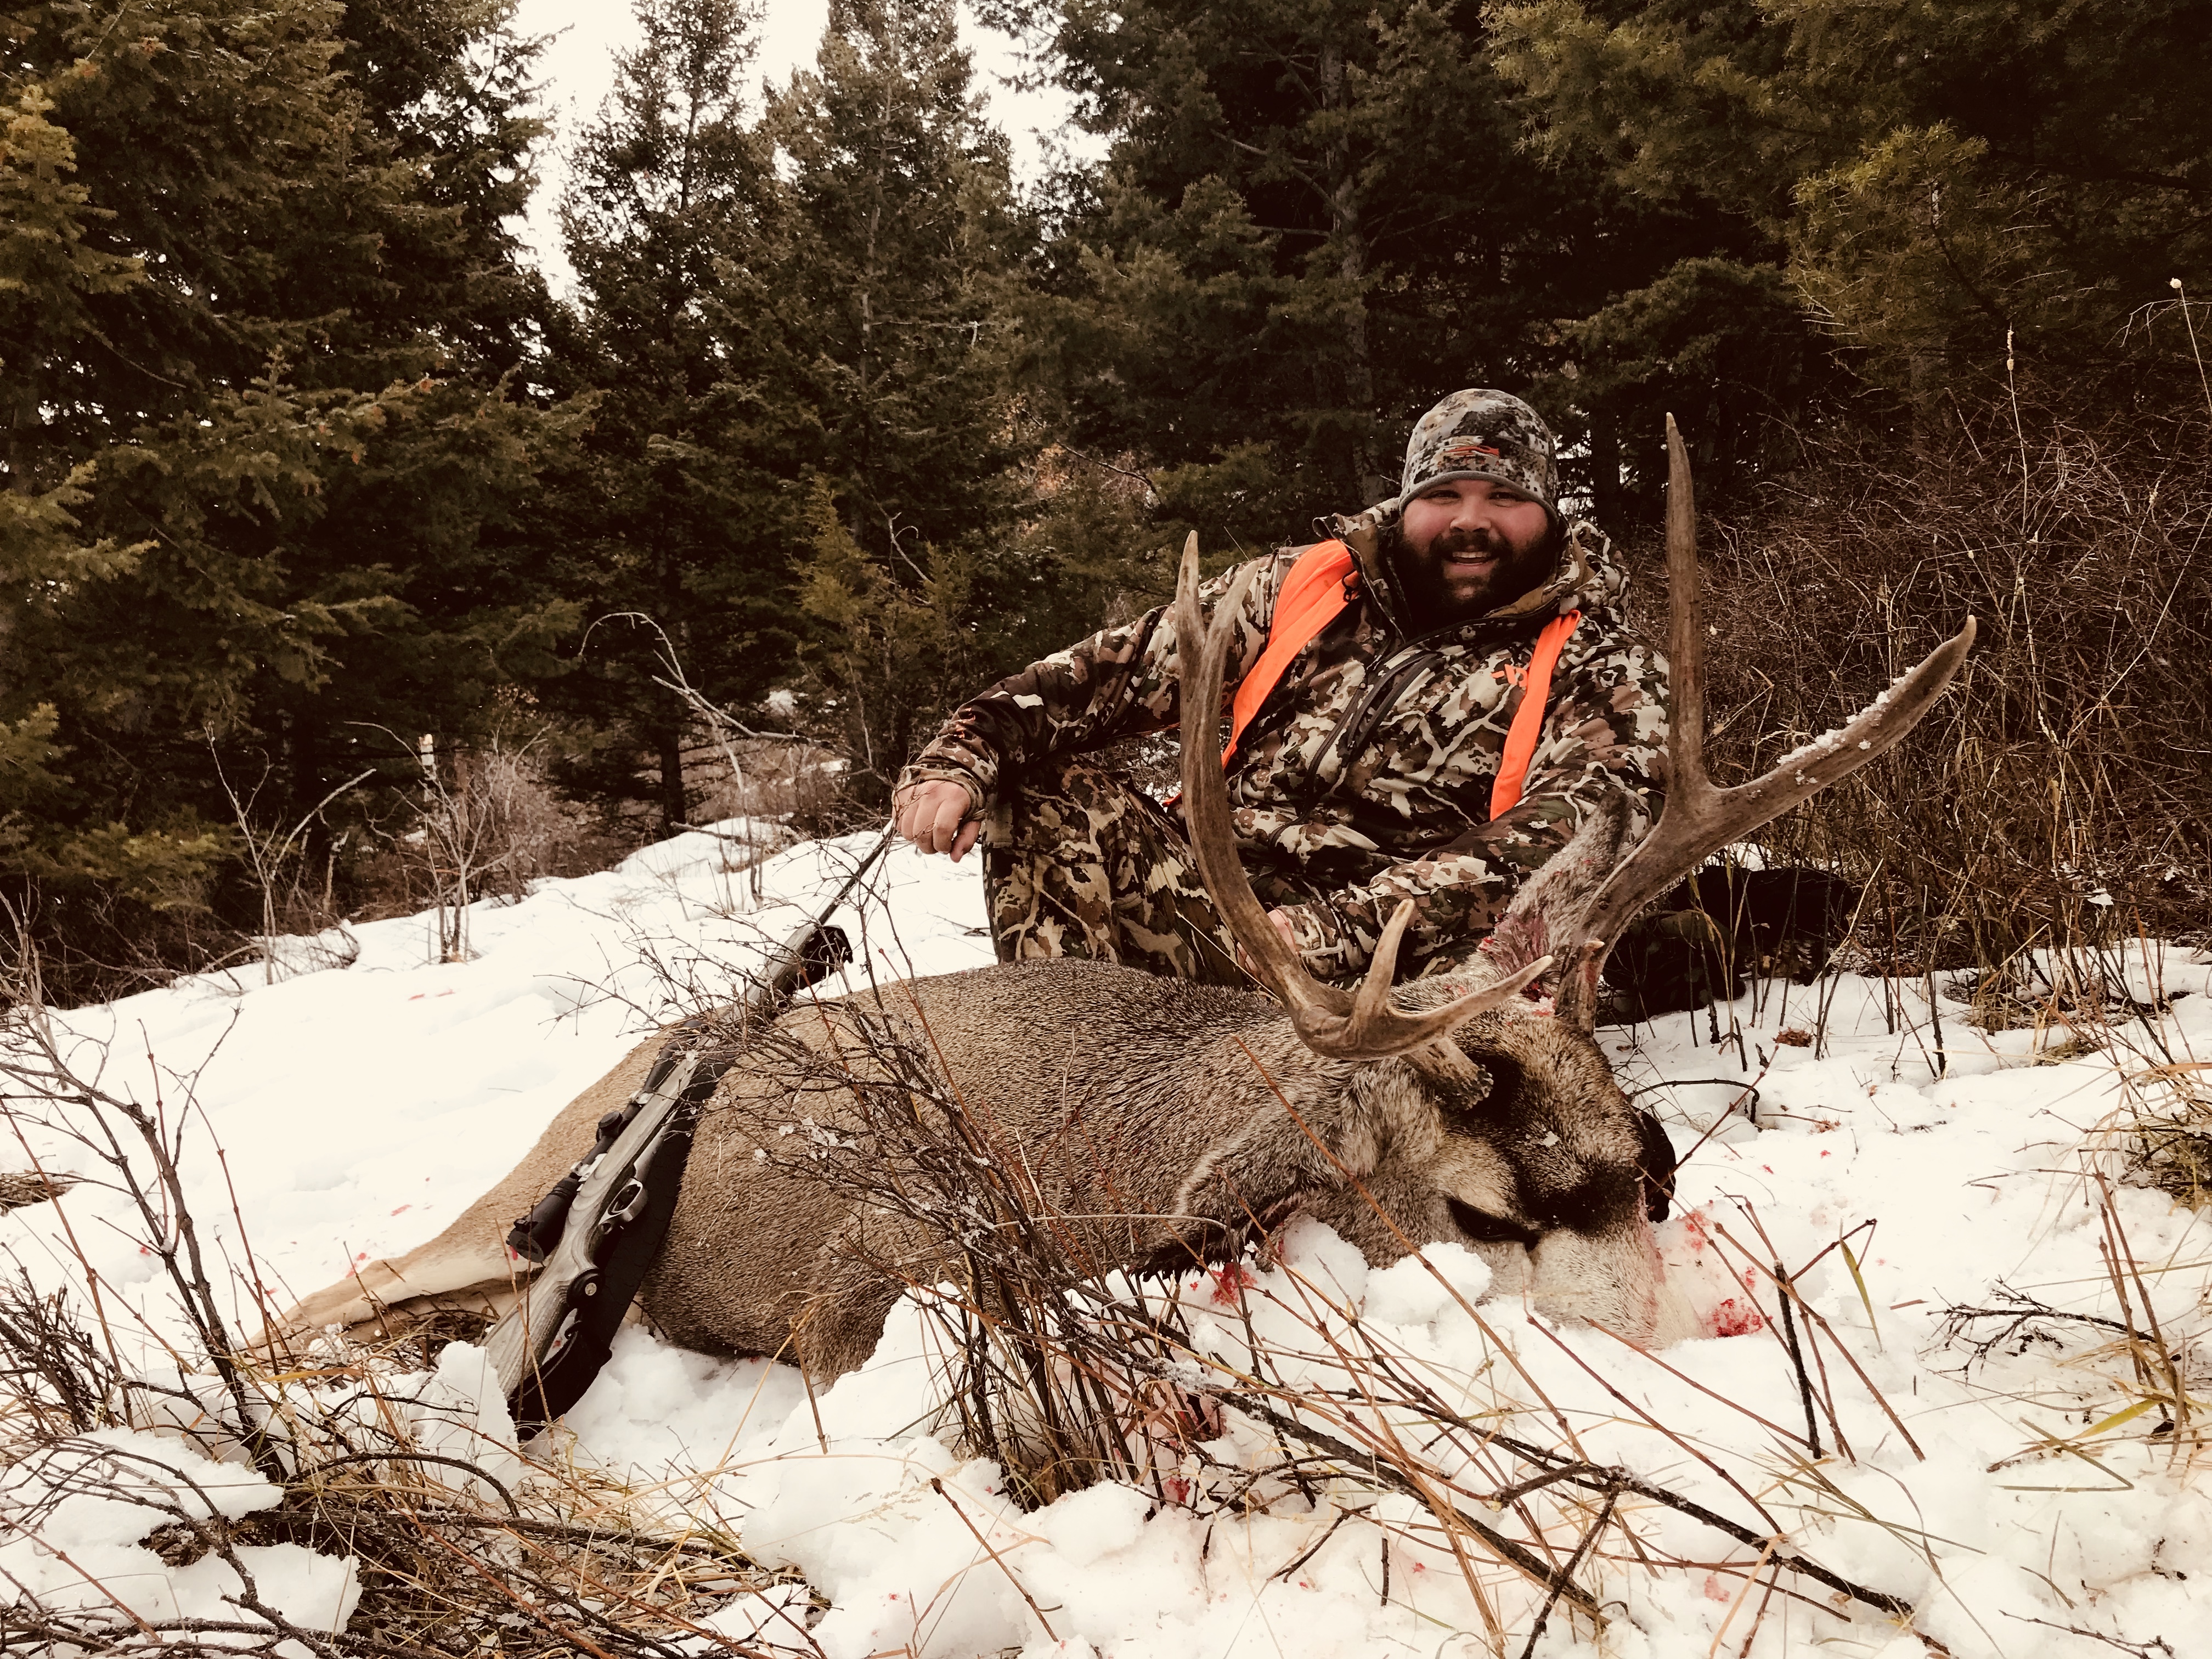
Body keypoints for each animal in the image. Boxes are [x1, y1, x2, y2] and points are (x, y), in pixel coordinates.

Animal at [276, 422, 1973, 1380]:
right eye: (1483, 1213)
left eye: (1654, 1182)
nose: (1664, 1365)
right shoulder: (853, 1282)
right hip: (515, 1191)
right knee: (328, 1296)